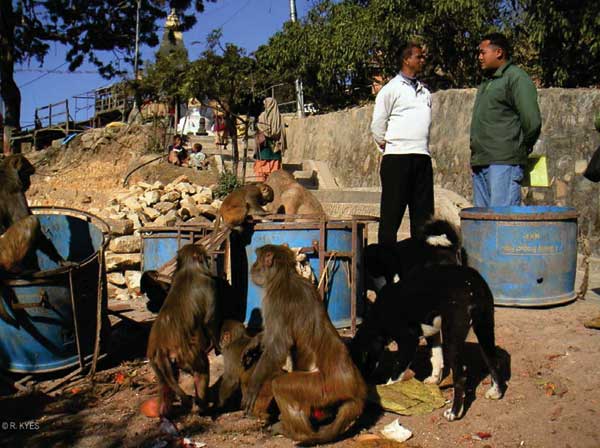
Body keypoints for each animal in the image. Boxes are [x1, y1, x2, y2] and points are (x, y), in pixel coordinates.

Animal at [146, 243, 221, 418]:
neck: (188, 268)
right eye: (205, 258)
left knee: (166, 383)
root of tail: (160, 348)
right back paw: (202, 408)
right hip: (185, 355)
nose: (208, 261)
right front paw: (217, 347)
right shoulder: (209, 284)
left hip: (157, 362)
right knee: (202, 371)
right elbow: (209, 321)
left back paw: (165, 413)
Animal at [243, 243, 366, 442]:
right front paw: (256, 342)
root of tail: (354, 387)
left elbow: (278, 345)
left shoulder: (274, 300)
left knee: (280, 385)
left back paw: (300, 433)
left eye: (257, 259)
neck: (283, 276)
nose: (253, 267)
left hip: (322, 388)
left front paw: (254, 385)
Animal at [352, 264, 506, 422]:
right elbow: (436, 356)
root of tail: (472, 284)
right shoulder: (433, 333)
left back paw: (454, 412)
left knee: (460, 377)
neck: (378, 317)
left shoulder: (408, 341)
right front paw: (434, 379)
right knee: (492, 361)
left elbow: (396, 373)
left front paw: (389, 391)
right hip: (484, 328)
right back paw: (496, 392)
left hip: (452, 336)